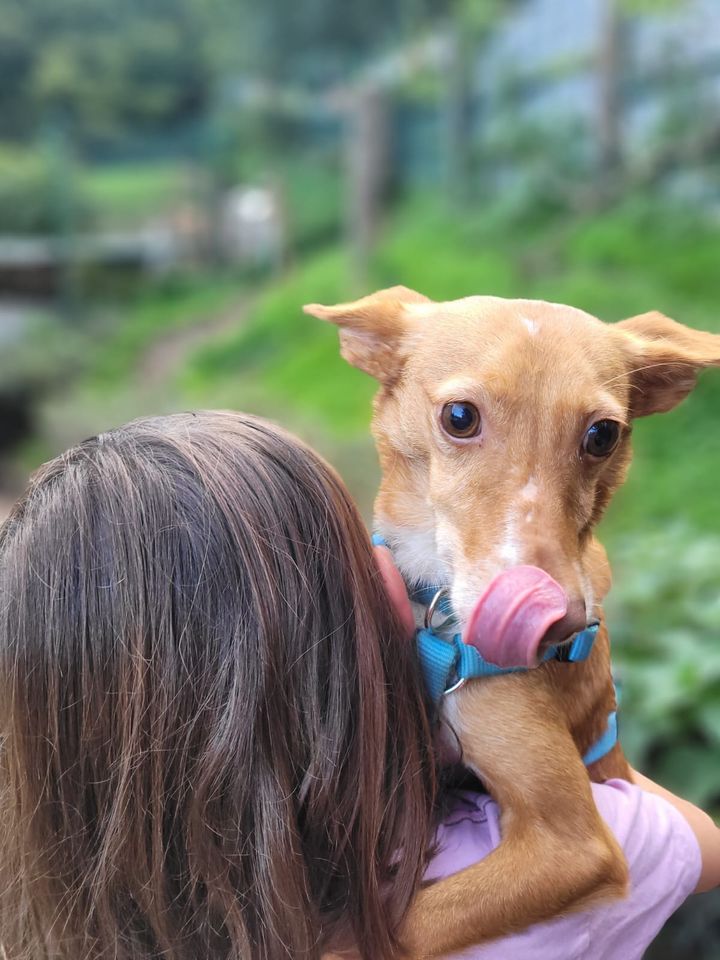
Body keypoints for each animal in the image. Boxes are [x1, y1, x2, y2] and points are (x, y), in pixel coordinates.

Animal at [306, 288, 720, 956]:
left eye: (603, 434)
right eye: (458, 417)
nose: (556, 626)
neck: (439, 625)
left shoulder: (572, 845)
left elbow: (394, 930)